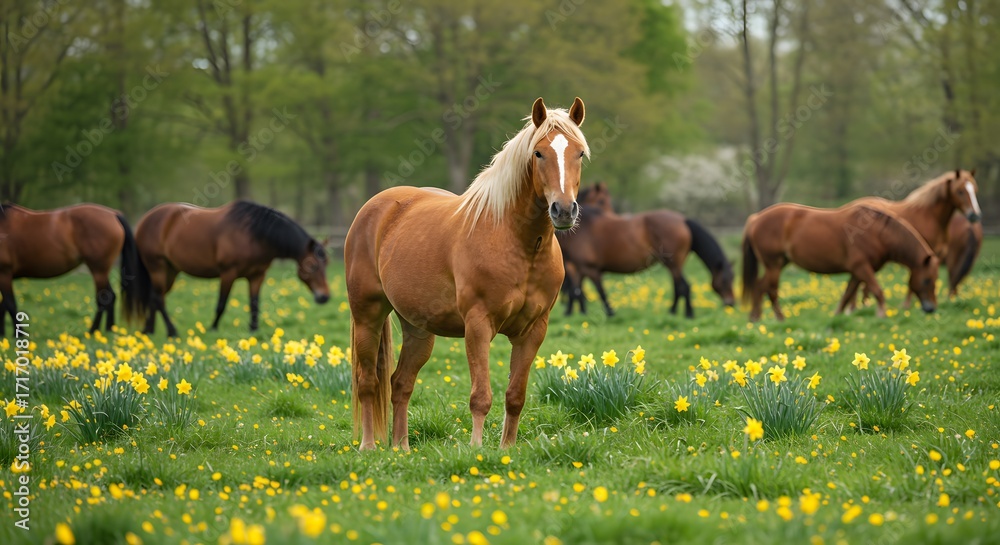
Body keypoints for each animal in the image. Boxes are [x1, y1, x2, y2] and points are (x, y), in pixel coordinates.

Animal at [0, 203, 144, 336]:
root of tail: (113, 214)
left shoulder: (5, 274)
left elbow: (10, 304)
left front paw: (18, 334)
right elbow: (4, 305)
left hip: (98, 271)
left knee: (103, 299)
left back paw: (92, 331)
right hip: (102, 271)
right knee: (110, 296)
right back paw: (109, 330)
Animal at [133, 200, 330, 337]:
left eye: (326, 264)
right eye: (313, 266)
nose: (325, 297)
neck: (253, 235)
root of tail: (145, 219)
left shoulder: (257, 276)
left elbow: (254, 304)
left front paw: (253, 330)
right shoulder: (228, 274)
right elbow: (221, 304)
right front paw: (213, 329)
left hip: (171, 270)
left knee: (154, 297)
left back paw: (148, 331)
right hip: (157, 267)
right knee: (158, 299)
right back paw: (172, 331)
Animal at [345, 97, 588, 451]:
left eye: (579, 153)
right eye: (538, 153)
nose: (564, 210)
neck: (517, 242)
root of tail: (375, 207)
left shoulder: (533, 331)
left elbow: (515, 396)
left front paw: (506, 450)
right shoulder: (478, 325)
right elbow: (480, 396)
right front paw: (476, 450)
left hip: (418, 330)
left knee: (400, 383)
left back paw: (402, 448)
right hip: (368, 315)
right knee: (368, 382)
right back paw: (368, 447)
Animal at [558, 182, 735, 318]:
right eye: (725, 281)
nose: (731, 303)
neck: (583, 229)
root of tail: (683, 220)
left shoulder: (589, 269)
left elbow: (598, 292)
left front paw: (608, 313)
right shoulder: (579, 268)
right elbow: (576, 291)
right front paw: (575, 313)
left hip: (673, 263)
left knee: (684, 286)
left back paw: (687, 314)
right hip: (672, 264)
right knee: (680, 287)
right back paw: (674, 312)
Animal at [741, 202, 939, 321]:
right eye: (927, 280)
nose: (931, 309)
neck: (876, 233)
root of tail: (755, 218)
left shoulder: (857, 272)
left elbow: (847, 295)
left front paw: (837, 317)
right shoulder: (862, 269)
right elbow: (877, 291)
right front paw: (881, 314)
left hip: (779, 264)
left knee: (759, 287)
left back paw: (756, 318)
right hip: (773, 265)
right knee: (769, 290)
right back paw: (778, 319)